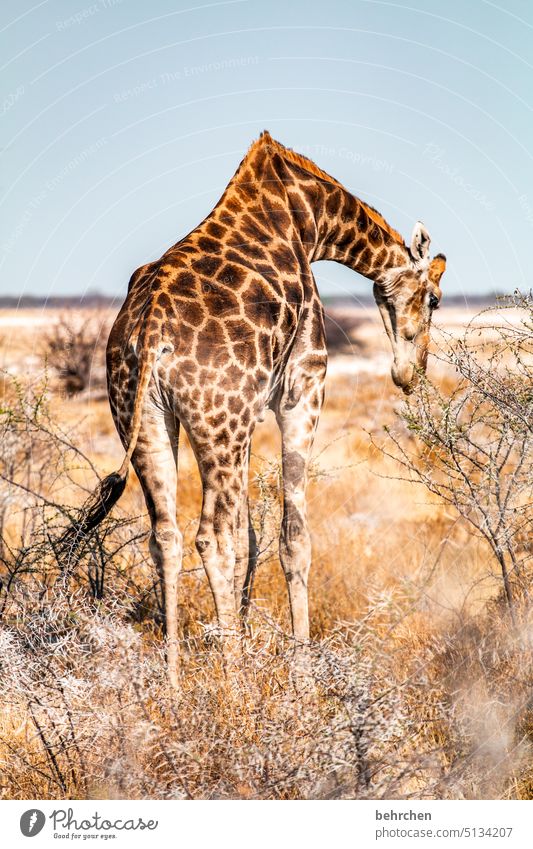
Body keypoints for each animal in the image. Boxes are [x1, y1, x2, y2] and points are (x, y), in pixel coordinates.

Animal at [59, 134, 444, 688]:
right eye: (434, 298)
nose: (411, 374)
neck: (310, 219)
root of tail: (150, 331)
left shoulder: (246, 414)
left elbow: (250, 536)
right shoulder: (302, 388)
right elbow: (293, 538)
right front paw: (302, 676)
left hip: (148, 415)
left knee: (168, 535)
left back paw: (174, 681)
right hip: (220, 421)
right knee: (211, 538)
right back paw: (234, 674)